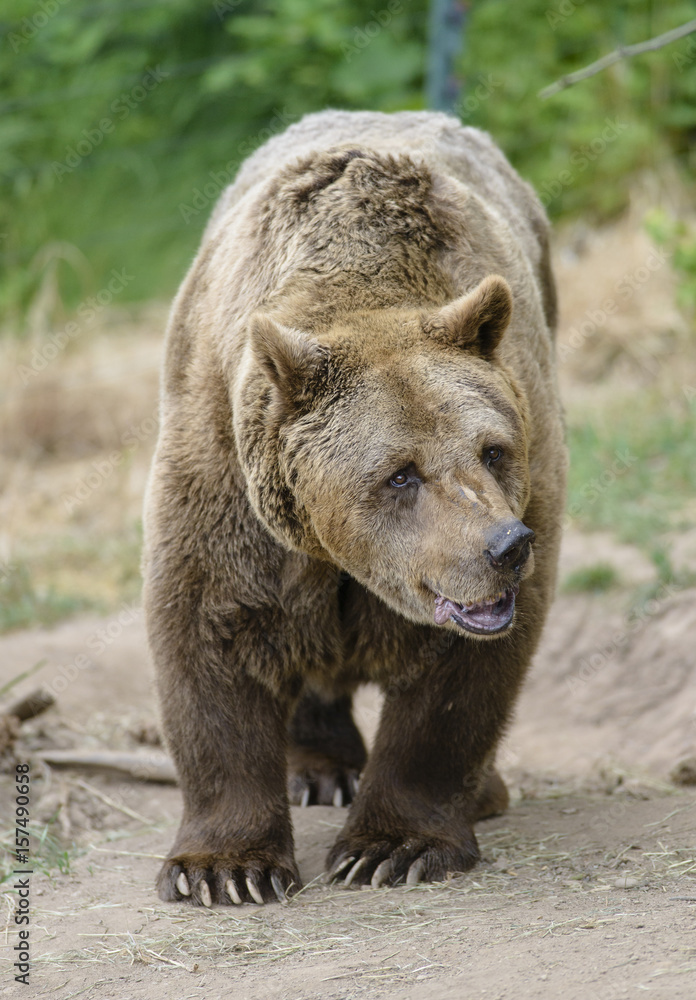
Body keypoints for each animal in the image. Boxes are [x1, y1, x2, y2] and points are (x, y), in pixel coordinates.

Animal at [142, 110, 566, 906]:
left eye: (493, 449)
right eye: (401, 475)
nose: (505, 546)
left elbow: (459, 682)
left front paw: (392, 846)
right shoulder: (223, 464)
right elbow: (210, 625)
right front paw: (225, 867)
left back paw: (481, 788)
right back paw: (319, 768)